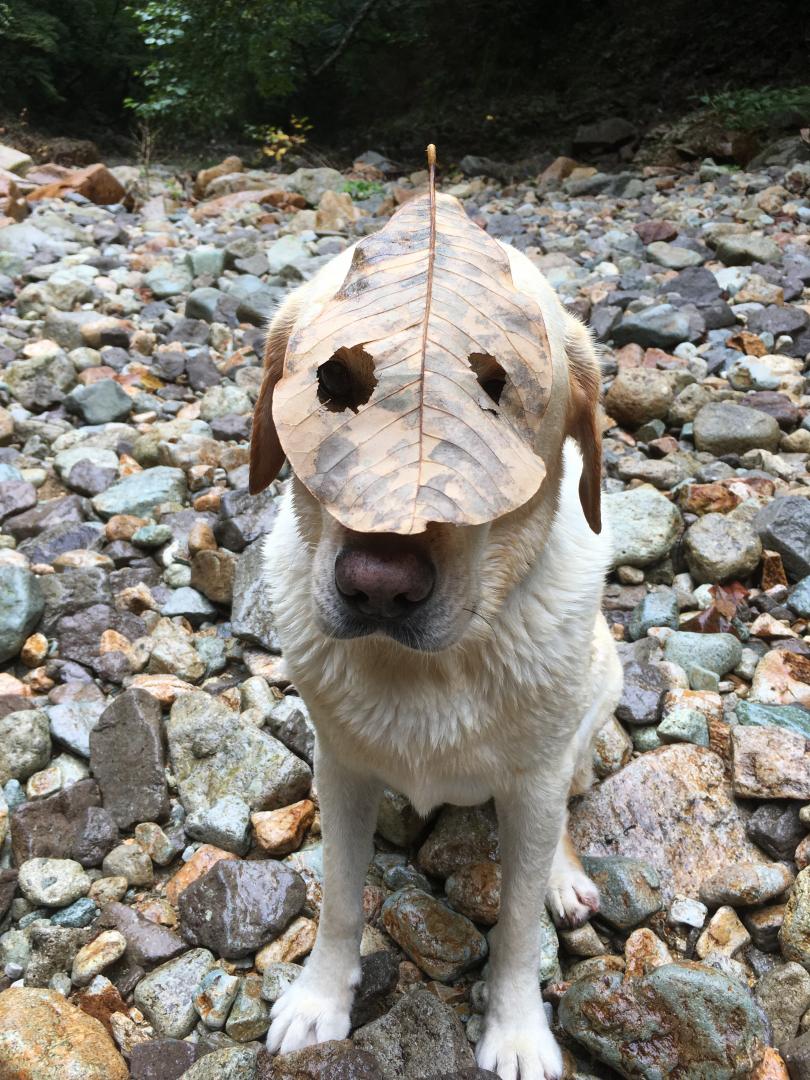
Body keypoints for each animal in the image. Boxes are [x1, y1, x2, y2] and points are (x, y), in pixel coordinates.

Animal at [250, 190, 626, 1075]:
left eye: (498, 391)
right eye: (333, 383)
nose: (379, 585)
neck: (427, 671)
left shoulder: (531, 786)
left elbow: (517, 927)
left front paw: (517, 1031)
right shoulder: (341, 770)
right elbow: (340, 897)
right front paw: (321, 1000)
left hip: (596, 695)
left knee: (566, 807)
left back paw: (563, 879)